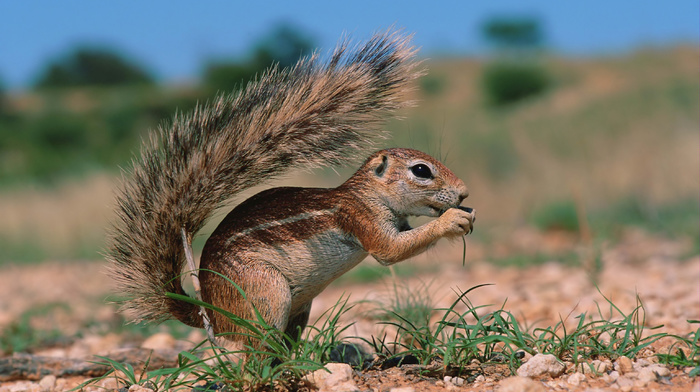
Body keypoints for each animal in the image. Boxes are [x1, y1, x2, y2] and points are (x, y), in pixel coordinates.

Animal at [106, 30, 476, 346]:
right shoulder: (360, 217)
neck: (367, 194)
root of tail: (211, 312)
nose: (464, 193)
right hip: (265, 291)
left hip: (299, 308)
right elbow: (391, 251)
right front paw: (453, 220)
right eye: (421, 171)